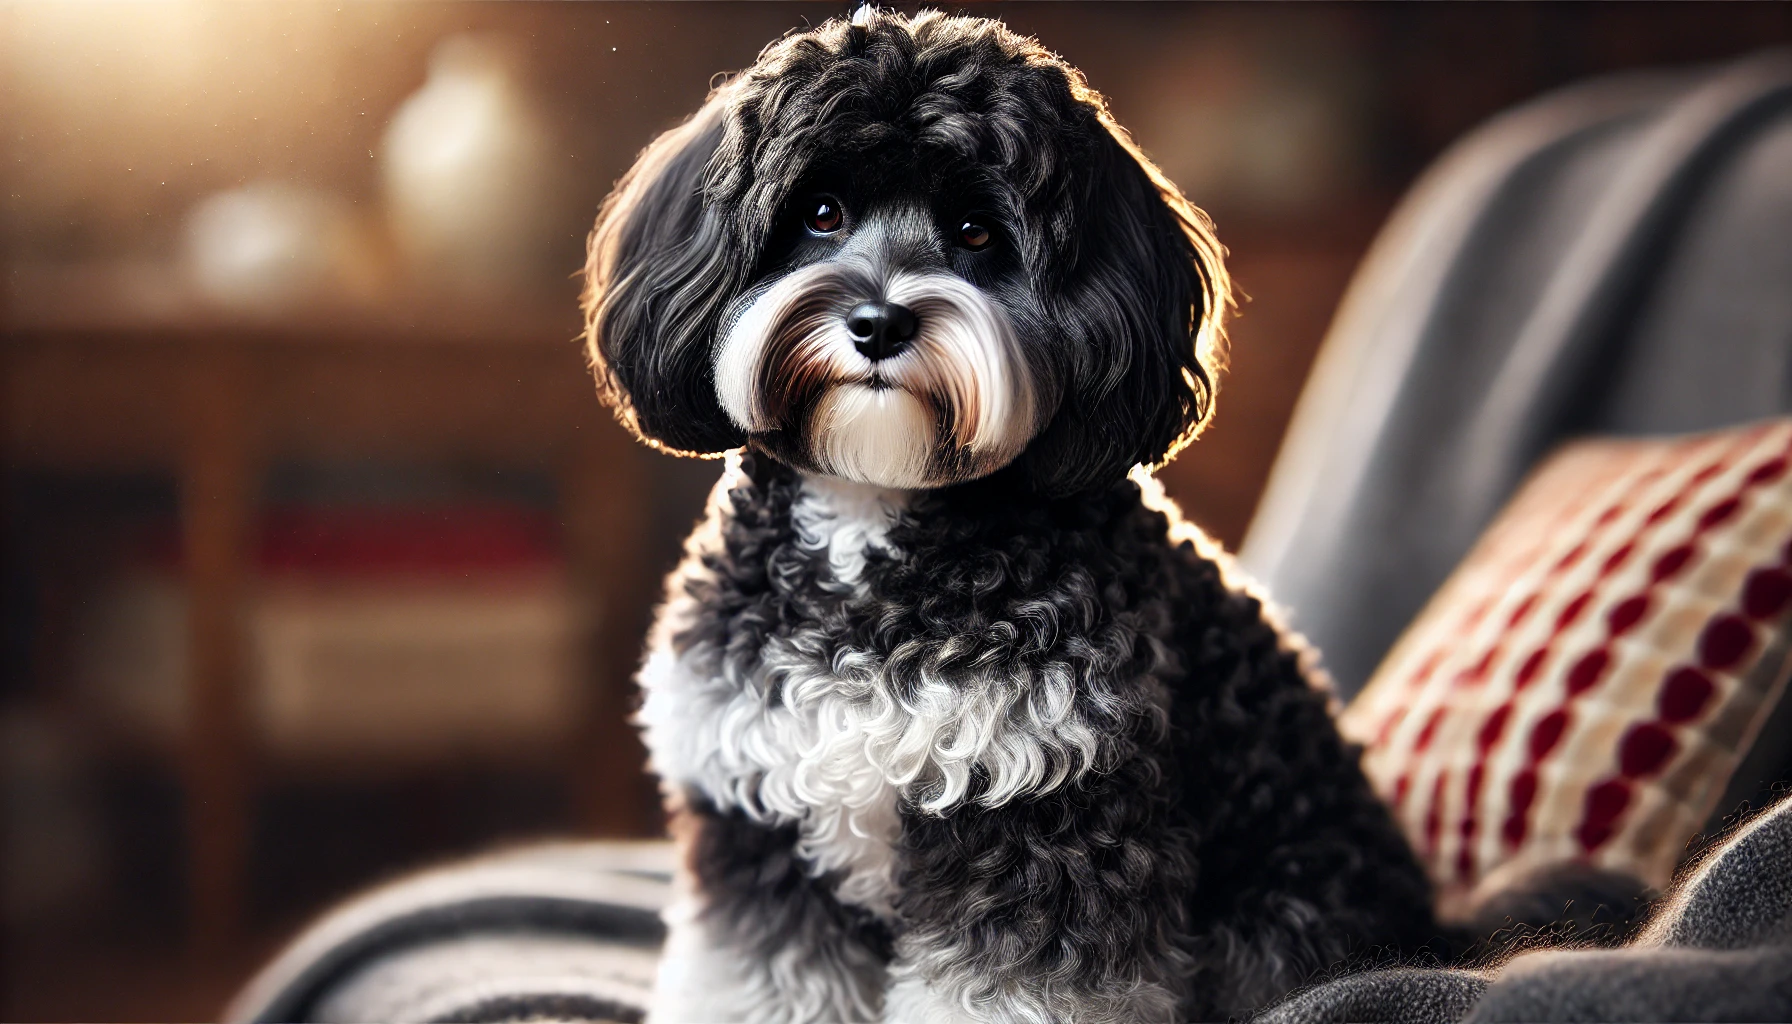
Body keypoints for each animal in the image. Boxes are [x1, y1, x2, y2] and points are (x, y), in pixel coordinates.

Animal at [587, 10, 1440, 1024]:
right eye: (820, 213)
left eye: (977, 231)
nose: (879, 323)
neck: (877, 509)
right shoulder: (759, 829)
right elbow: (759, 977)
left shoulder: (1043, 820)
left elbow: (1010, 983)